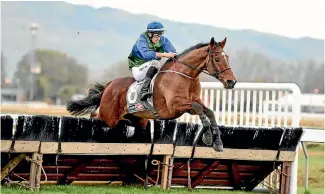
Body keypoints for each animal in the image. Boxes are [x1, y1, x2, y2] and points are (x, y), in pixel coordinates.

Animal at [67, 37, 237, 152]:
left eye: (227, 58)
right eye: (217, 59)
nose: (232, 82)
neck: (185, 76)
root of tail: (110, 84)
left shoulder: (191, 104)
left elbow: (209, 112)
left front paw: (218, 143)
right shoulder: (175, 106)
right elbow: (200, 109)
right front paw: (208, 137)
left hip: (138, 119)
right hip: (108, 116)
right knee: (95, 116)